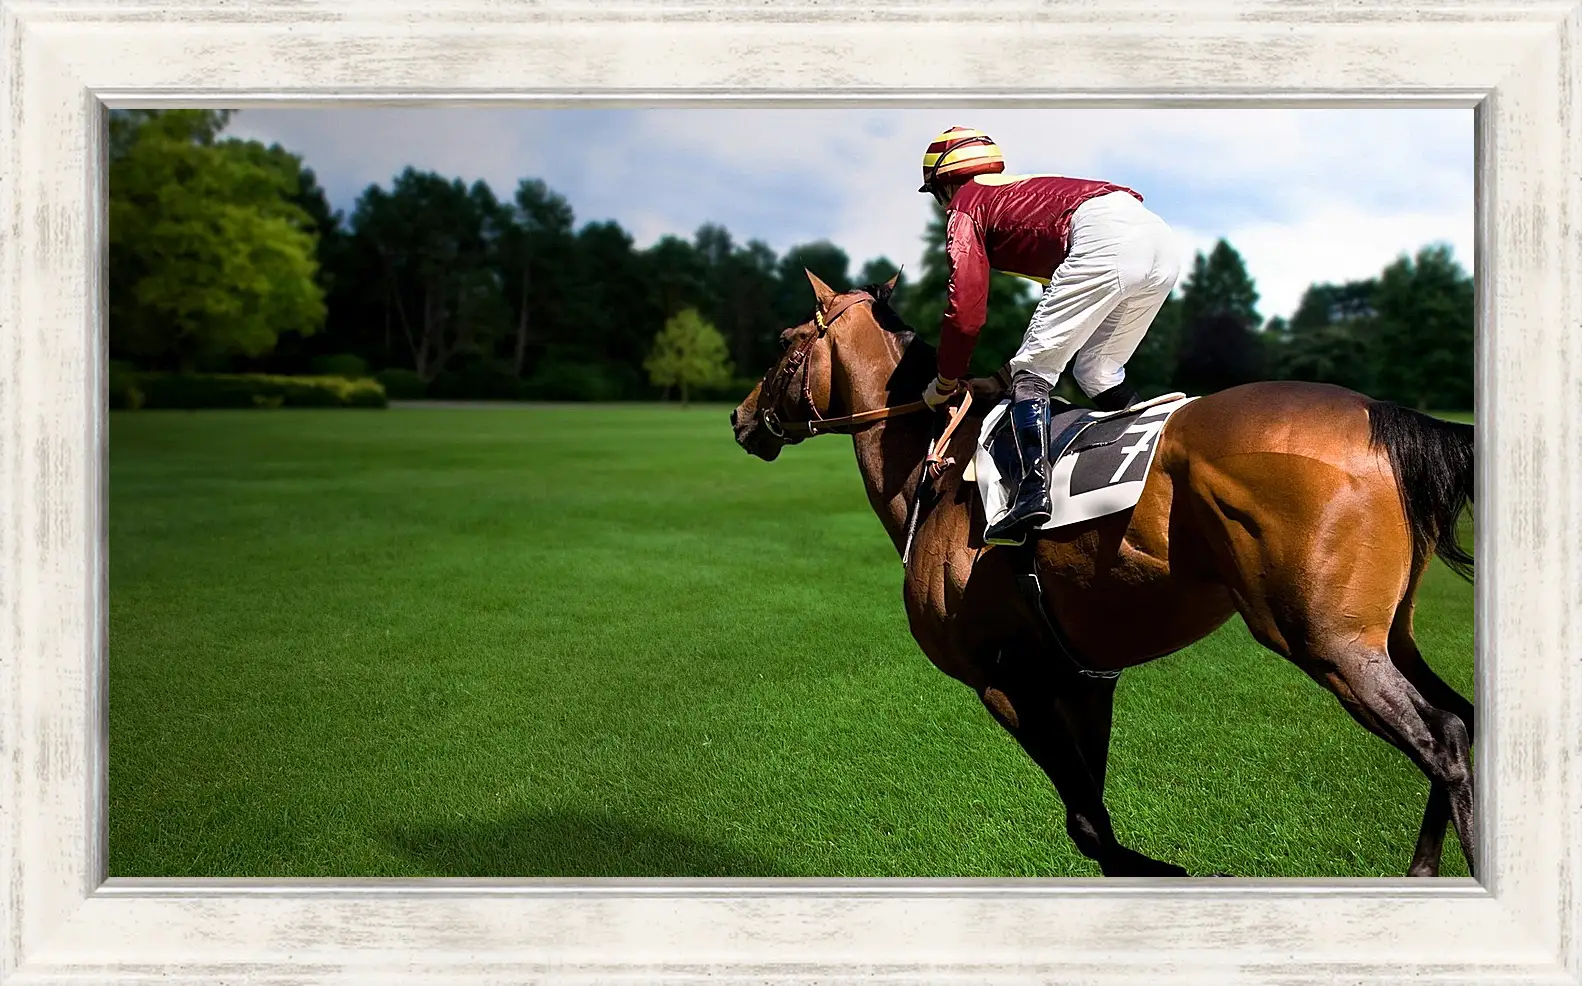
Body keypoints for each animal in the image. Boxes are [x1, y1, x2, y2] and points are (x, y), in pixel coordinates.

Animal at [725, 267, 1469, 879]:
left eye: (786, 341)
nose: (738, 417)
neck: (935, 469)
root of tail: (1381, 414)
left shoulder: (1004, 679)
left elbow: (1088, 825)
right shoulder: (1083, 677)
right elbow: (1095, 820)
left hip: (1328, 641)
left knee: (1442, 738)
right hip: (1385, 634)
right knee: (1461, 715)